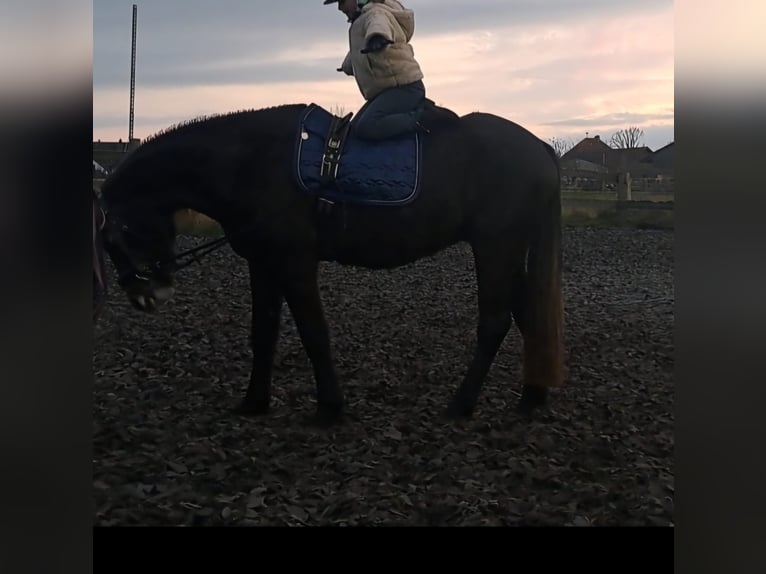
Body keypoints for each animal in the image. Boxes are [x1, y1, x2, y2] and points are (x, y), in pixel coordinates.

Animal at [99, 101, 565, 426]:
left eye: (119, 233)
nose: (143, 295)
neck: (250, 162)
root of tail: (541, 148)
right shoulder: (262, 263)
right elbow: (263, 332)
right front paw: (254, 401)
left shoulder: (295, 261)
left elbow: (313, 332)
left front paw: (329, 408)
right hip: (506, 252)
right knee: (528, 315)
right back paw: (532, 396)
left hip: (496, 247)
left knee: (495, 322)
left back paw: (463, 403)